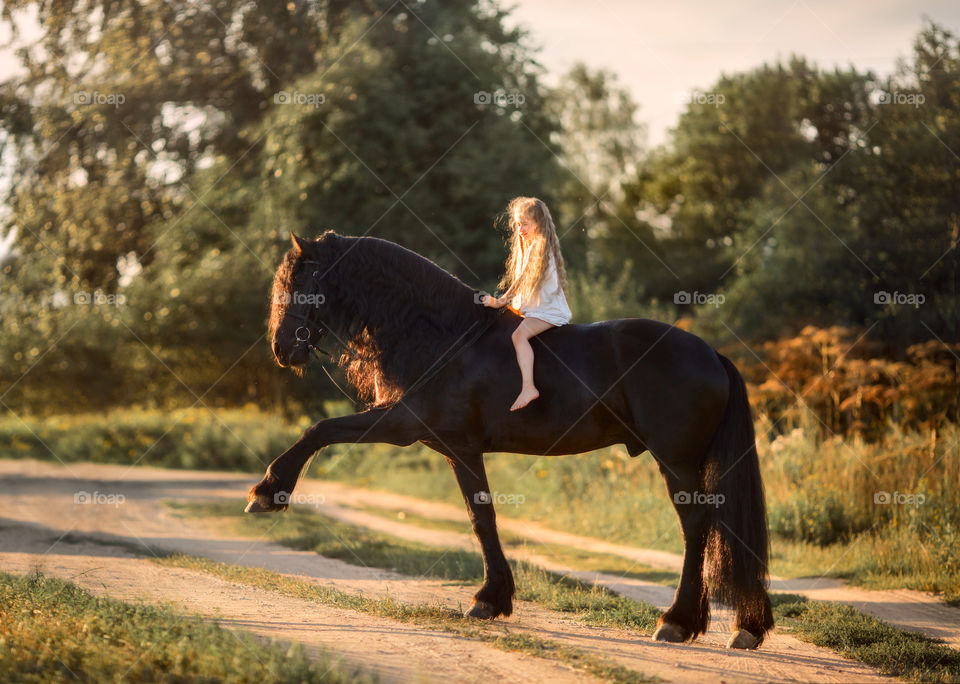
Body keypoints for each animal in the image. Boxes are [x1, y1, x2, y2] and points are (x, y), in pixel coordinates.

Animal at [247, 230, 774, 649]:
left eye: (300, 285)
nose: (281, 347)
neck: (446, 337)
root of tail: (710, 353)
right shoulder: (455, 448)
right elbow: (482, 518)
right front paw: (492, 598)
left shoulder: (406, 427)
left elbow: (321, 429)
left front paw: (270, 490)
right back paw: (743, 626)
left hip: (676, 460)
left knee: (696, 527)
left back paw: (678, 622)